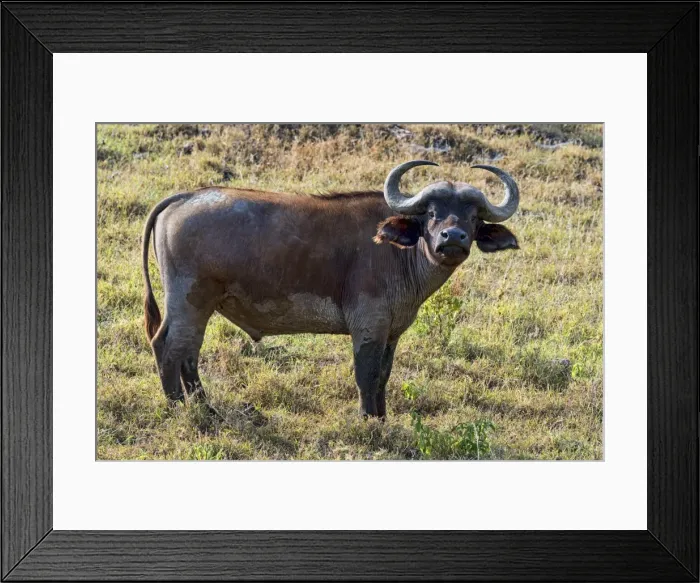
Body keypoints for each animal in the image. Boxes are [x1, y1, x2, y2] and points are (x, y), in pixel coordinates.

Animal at [142, 161, 519, 418]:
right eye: (431, 213)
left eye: (473, 217)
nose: (452, 237)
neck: (398, 252)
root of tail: (186, 197)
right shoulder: (368, 326)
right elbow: (366, 374)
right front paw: (367, 420)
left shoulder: (391, 333)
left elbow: (383, 375)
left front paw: (381, 418)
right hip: (188, 300)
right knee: (167, 346)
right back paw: (178, 407)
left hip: (201, 306)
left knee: (189, 353)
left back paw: (206, 408)